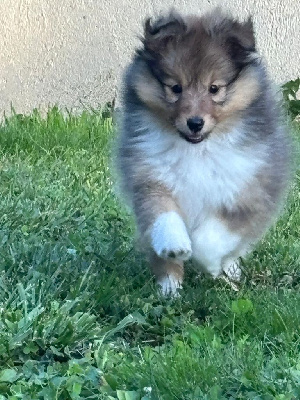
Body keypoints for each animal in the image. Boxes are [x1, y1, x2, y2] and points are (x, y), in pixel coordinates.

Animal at [116, 8, 290, 294]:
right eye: (176, 88)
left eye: (214, 88)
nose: (195, 123)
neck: (197, 150)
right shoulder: (149, 178)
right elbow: (164, 216)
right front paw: (175, 251)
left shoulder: (245, 191)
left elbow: (210, 238)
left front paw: (208, 264)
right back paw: (170, 288)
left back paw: (229, 271)